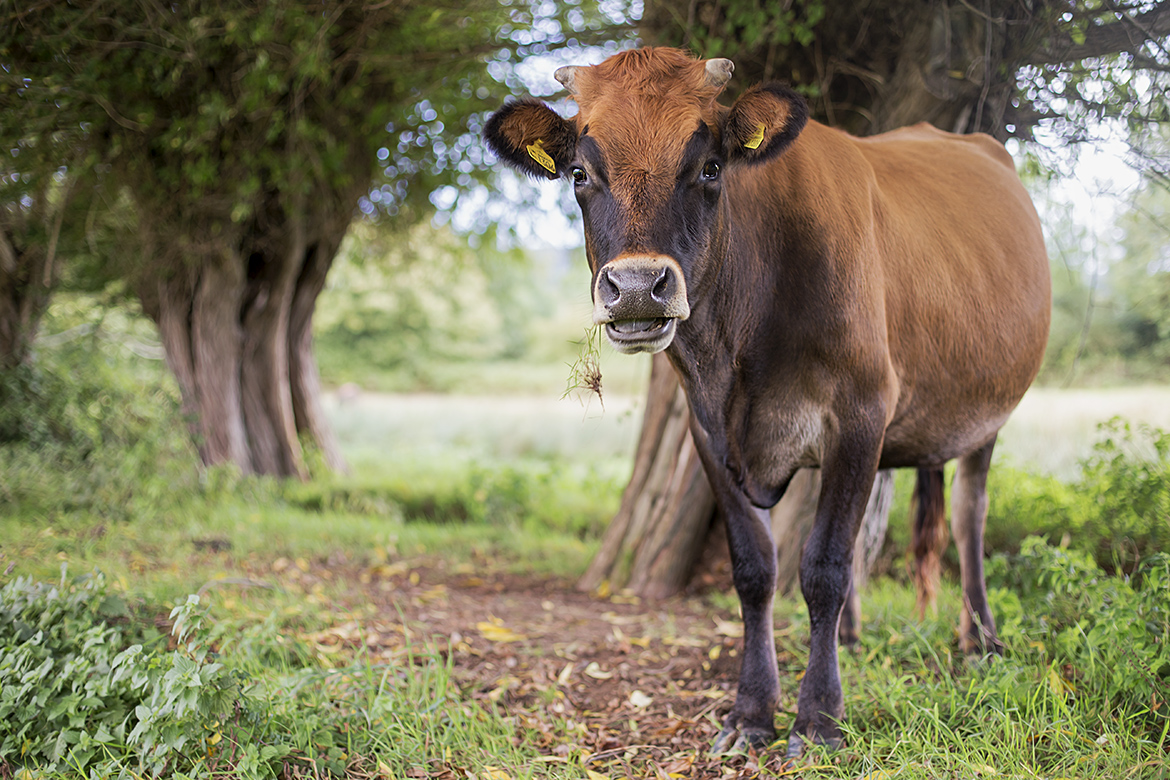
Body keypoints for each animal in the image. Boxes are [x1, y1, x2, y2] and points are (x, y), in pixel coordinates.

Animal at [484, 48, 1053, 757]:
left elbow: (824, 567)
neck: (742, 352)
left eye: (709, 167)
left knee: (970, 514)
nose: (638, 286)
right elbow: (755, 570)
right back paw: (856, 638)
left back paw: (981, 640)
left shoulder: (861, 411)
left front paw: (819, 718)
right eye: (581, 173)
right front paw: (752, 711)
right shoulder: (708, 430)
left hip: (987, 411)